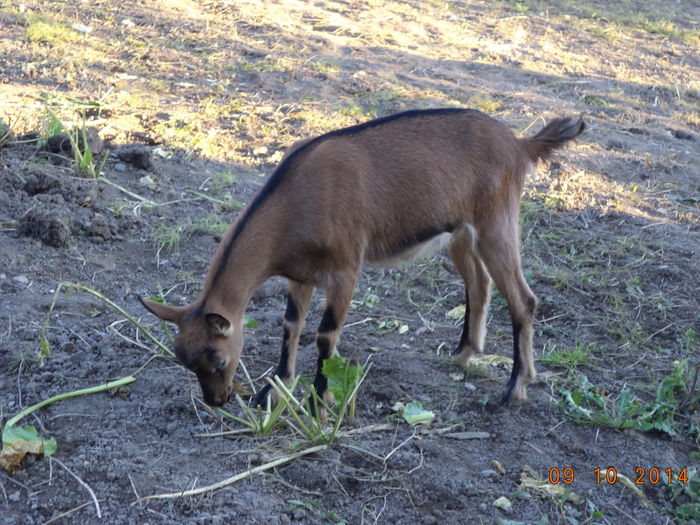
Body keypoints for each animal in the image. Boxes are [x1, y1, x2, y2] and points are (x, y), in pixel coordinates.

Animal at [141, 107, 584, 410]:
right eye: (184, 360)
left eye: (217, 358)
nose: (217, 400)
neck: (298, 201)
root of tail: (519, 144)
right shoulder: (300, 274)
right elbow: (290, 326)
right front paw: (275, 389)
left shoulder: (345, 268)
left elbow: (325, 335)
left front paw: (318, 401)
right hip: (460, 233)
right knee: (479, 283)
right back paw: (462, 354)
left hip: (497, 221)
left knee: (523, 299)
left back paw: (515, 387)